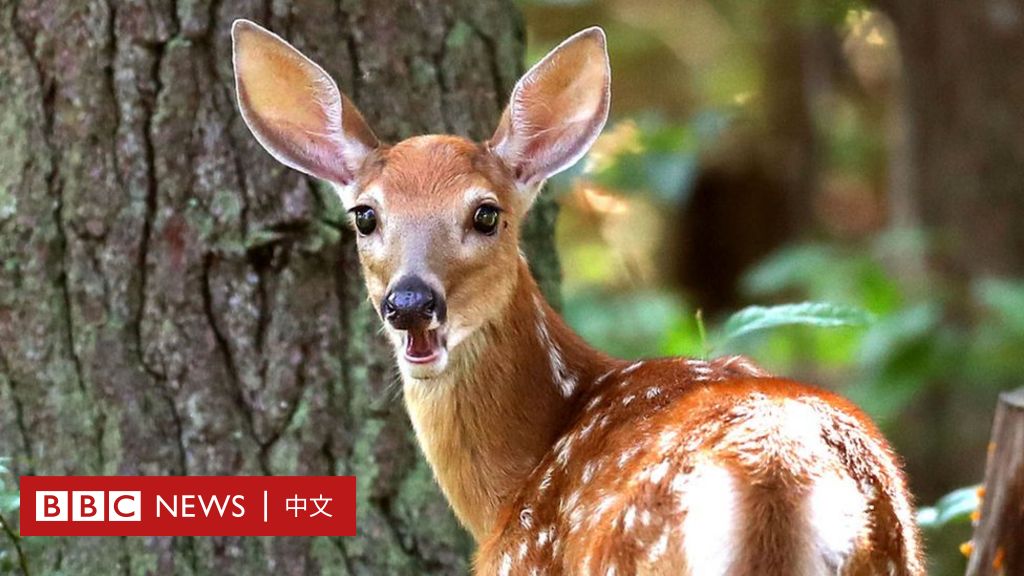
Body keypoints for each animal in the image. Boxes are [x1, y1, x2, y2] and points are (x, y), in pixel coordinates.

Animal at [234, 19, 929, 573]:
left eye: (486, 214)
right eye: (365, 216)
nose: (409, 304)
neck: (514, 483)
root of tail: (777, 482)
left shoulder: (527, 558)